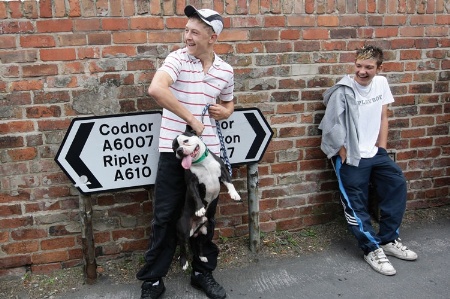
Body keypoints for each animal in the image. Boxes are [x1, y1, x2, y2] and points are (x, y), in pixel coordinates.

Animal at [173, 125, 243, 270]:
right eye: (173, 147)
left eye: (185, 141)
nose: (179, 151)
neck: (202, 163)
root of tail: (196, 229)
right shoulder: (192, 183)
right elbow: (196, 196)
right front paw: (200, 209)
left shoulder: (223, 171)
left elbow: (230, 182)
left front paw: (234, 194)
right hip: (183, 230)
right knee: (183, 247)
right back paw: (184, 262)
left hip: (208, 230)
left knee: (200, 244)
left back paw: (202, 257)